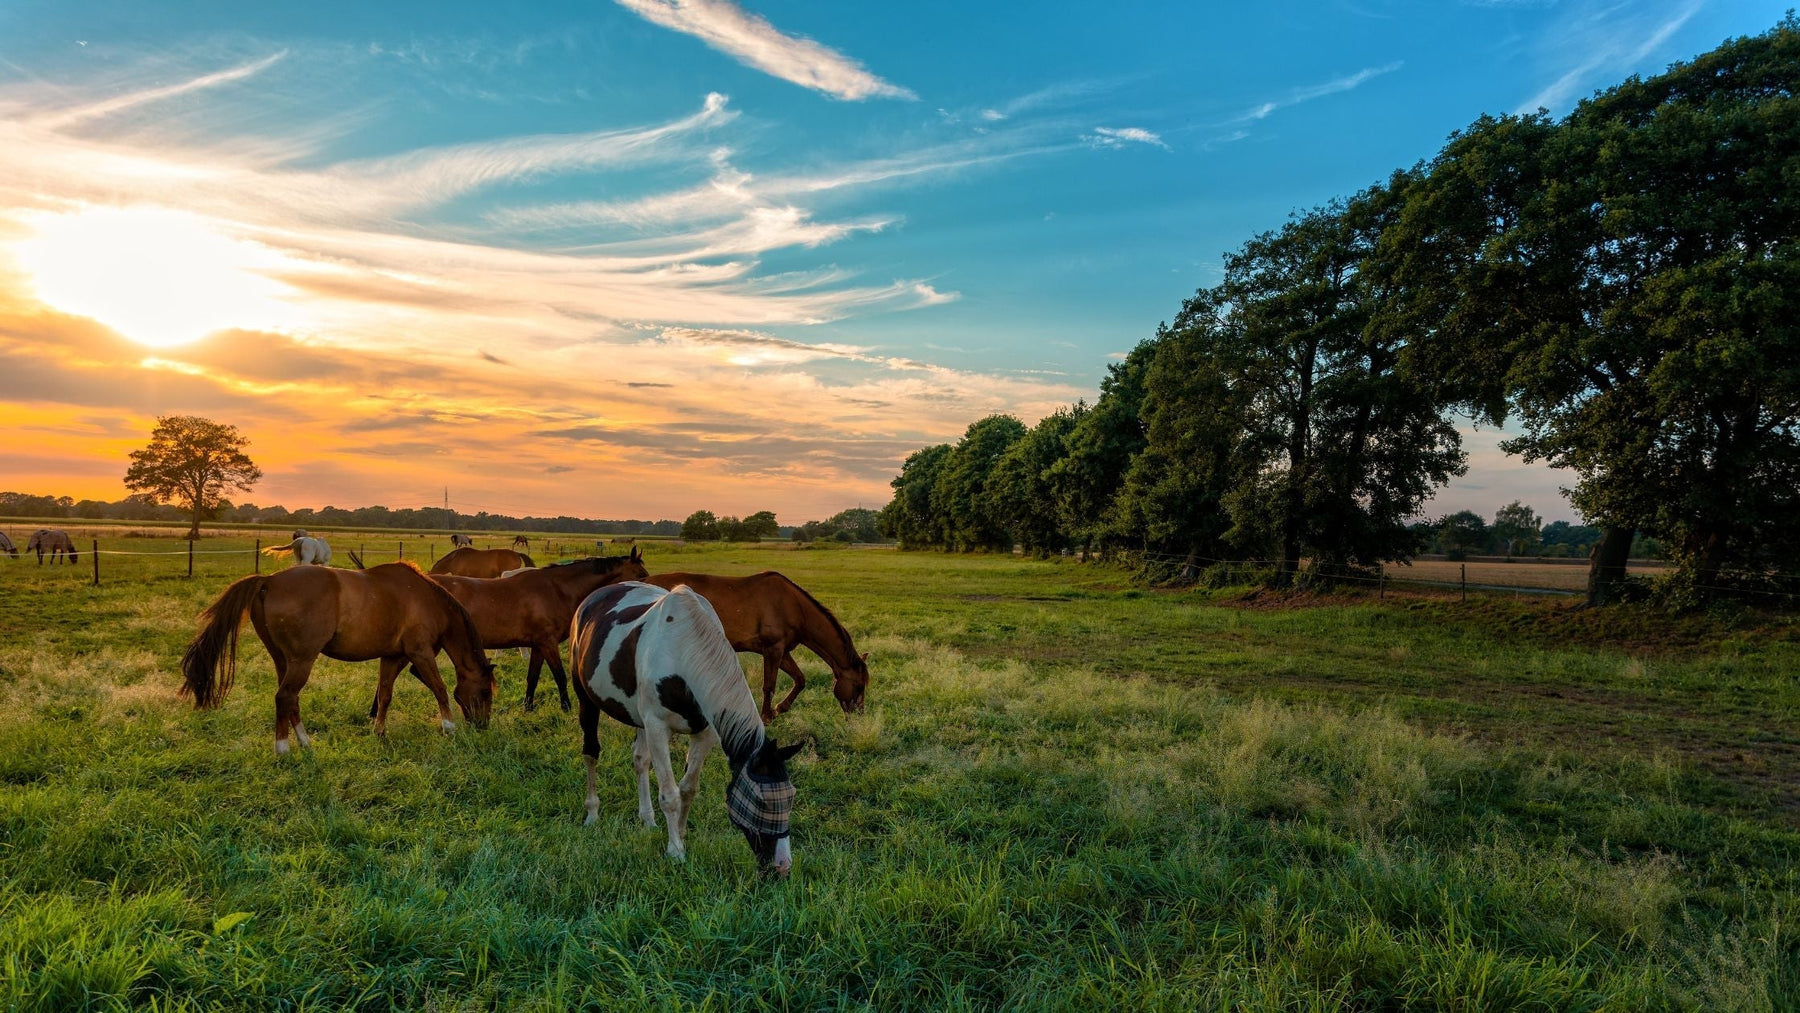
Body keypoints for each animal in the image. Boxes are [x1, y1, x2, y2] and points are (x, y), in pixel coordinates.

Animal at [180, 561, 496, 754]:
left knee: (290, 699)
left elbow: (385, 695)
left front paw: (379, 731)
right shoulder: (420, 653)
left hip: (284, 661)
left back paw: (305, 743)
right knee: (284, 697)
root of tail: (268, 581)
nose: (483, 726)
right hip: (302, 660)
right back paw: (283, 749)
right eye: (485, 692)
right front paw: (449, 728)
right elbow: (440, 689)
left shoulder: (392, 657)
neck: (425, 598)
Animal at [364, 548, 647, 714]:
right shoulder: (548, 643)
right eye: (642, 574)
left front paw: (528, 707)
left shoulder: (538, 645)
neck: (555, 589)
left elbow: (533, 677)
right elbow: (559, 676)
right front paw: (566, 708)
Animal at [571, 582, 803, 877]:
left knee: (640, 761)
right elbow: (670, 795)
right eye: (761, 801)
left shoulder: (704, 732)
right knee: (591, 753)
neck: (682, 650)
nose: (782, 866)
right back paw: (592, 813)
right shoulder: (658, 728)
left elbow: (688, 788)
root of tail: (592, 598)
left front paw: (680, 835)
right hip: (586, 699)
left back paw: (647, 819)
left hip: (639, 719)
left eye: (791, 796)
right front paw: (676, 851)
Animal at [644, 572, 869, 720]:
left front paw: (780, 709)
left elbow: (800, 679)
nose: (859, 715)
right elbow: (769, 685)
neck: (794, 606)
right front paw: (766, 716)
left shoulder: (782, 651)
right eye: (859, 685)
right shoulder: (773, 649)